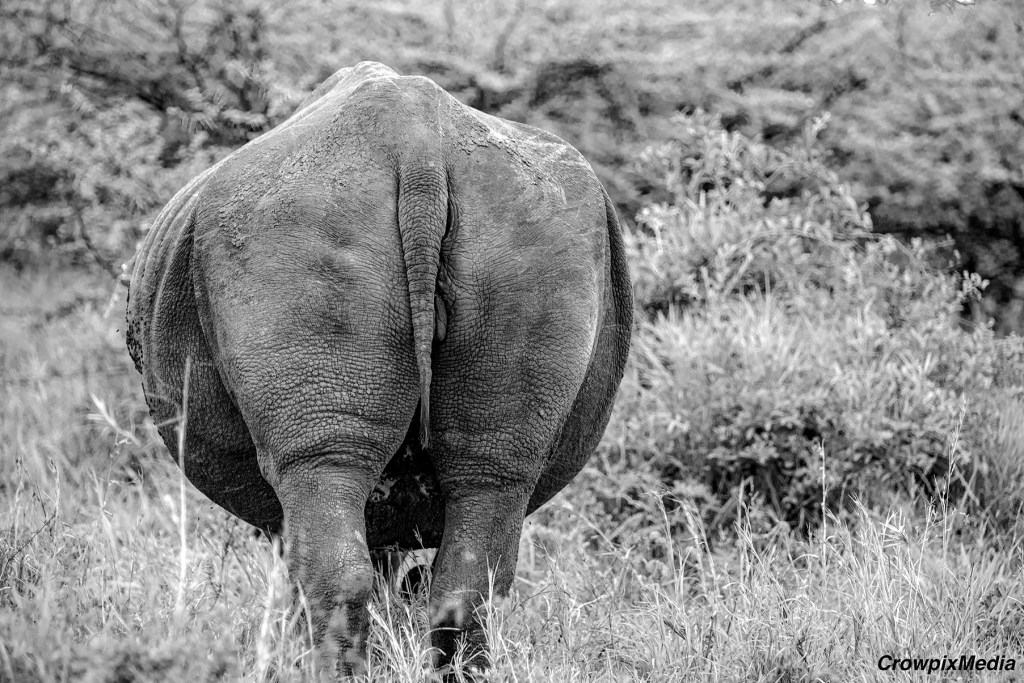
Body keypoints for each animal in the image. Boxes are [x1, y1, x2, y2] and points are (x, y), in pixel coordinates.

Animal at [126, 61, 632, 676]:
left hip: (293, 228)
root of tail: (418, 147)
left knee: (323, 474)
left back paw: (329, 674)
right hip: (533, 237)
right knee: (492, 480)